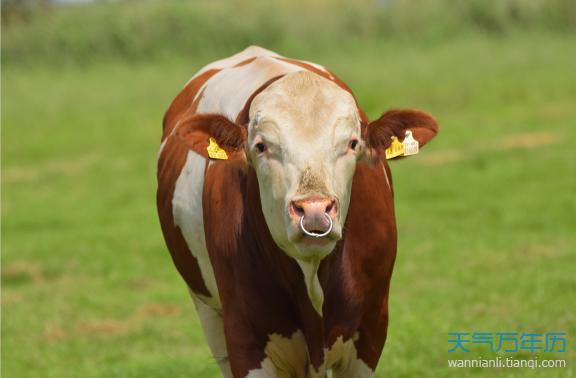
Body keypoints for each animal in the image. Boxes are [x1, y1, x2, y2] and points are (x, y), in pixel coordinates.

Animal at [156, 45, 436, 376]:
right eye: (261, 146)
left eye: (352, 143)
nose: (314, 209)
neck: (312, 274)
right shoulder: (245, 340)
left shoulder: (370, 330)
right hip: (207, 310)